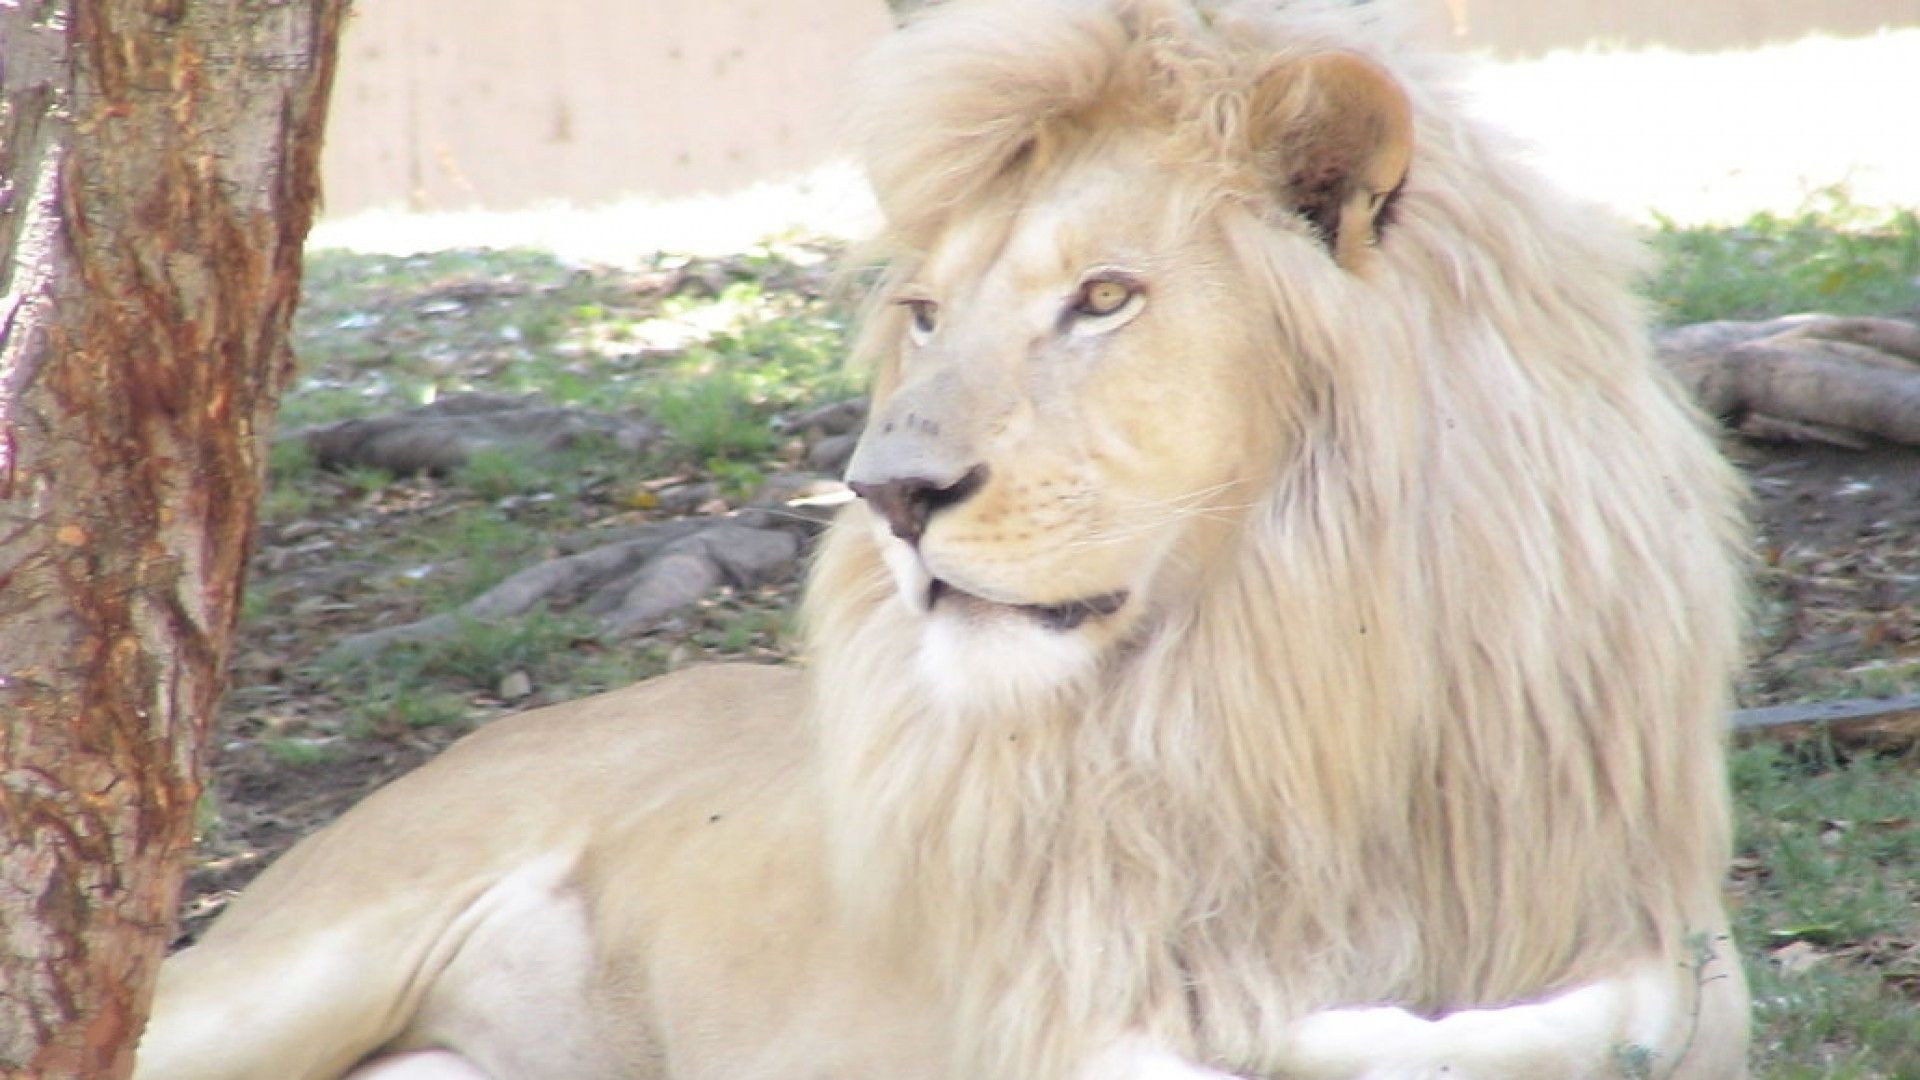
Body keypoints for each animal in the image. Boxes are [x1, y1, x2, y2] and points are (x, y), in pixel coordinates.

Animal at [137, 1, 1752, 1077]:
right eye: (926, 312)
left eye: (1105, 298)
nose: (889, 496)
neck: (1287, 692)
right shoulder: (1048, 998)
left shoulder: (1655, 927)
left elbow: (1627, 1004)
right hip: (285, 969)